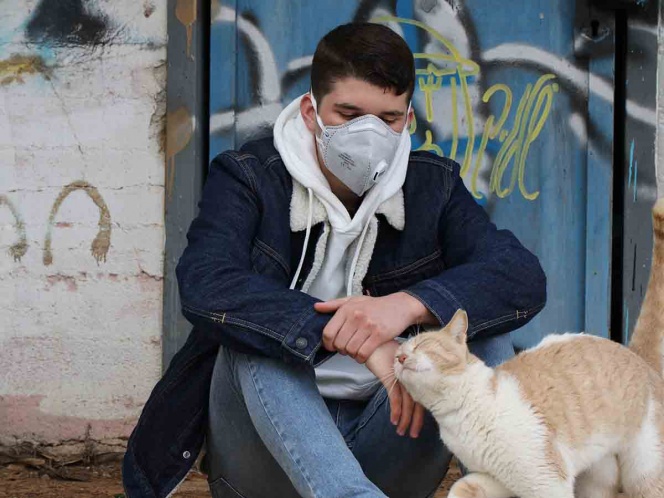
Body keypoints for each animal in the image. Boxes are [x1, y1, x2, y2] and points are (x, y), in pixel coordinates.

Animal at [394, 199, 664, 498]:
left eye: (423, 344)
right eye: (397, 355)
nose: (400, 357)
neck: (459, 415)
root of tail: (633, 353)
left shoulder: (547, 481)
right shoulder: (491, 479)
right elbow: (461, 488)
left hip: (644, 473)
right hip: (595, 479)